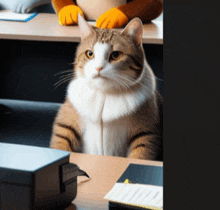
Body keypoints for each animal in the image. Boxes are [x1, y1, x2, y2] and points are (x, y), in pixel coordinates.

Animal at [50, 13, 163, 160]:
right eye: (89, 53)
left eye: (115, 55)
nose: (98, 67)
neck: (104, 93)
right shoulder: (66, 123)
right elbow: (61, 141)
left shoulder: (146, 132)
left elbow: (141, 153)